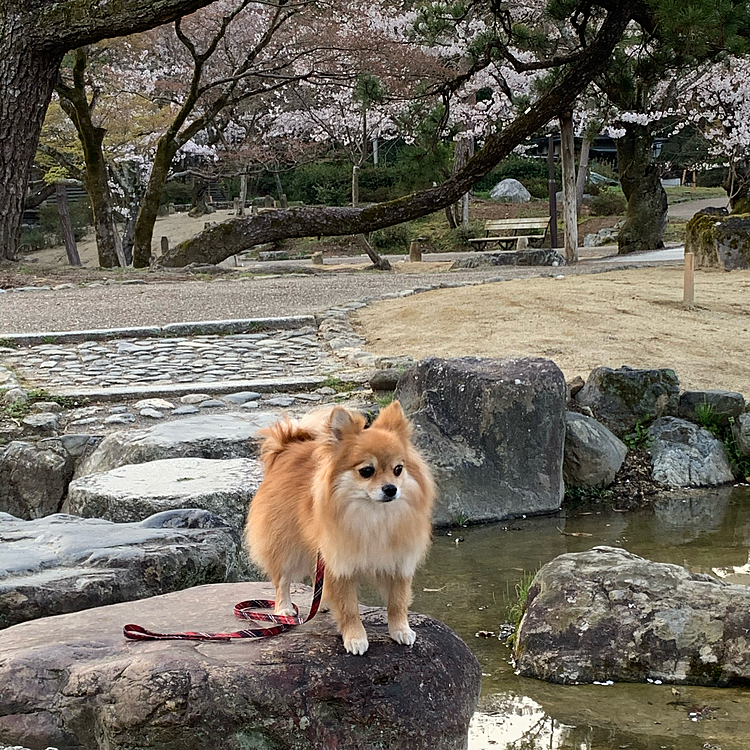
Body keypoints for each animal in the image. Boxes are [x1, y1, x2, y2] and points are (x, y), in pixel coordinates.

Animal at [247, 402, 434, 656]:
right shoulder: (341, 562)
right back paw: (284, 609)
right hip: (286, 545)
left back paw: (322, 602)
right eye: (367, 471)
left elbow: (397, 601)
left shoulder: (398, 562)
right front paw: (355, 638)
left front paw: (400, 630)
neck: (372, 515)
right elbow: (349, 607)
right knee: (282, 580)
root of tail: (287, 447)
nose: (391, 489)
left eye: (398, 469)